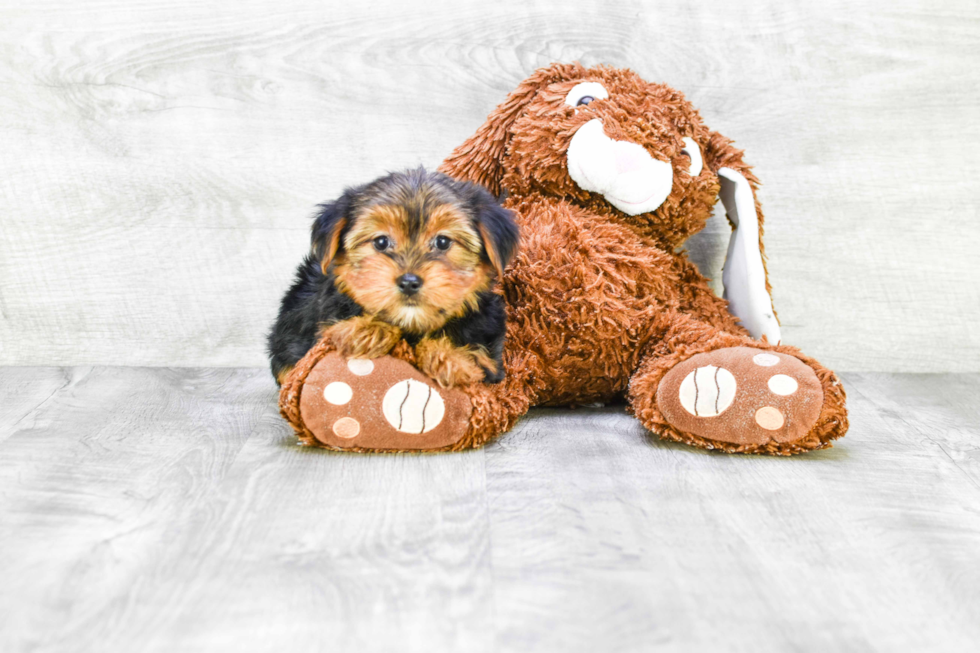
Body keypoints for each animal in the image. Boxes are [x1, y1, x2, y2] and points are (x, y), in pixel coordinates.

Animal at [264, 169, 516, 388]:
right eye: (381, 242)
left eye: (443, 242)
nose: (409, 282)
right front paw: (367, 330)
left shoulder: (491, 356)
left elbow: (478, 358)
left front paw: (451, 358)